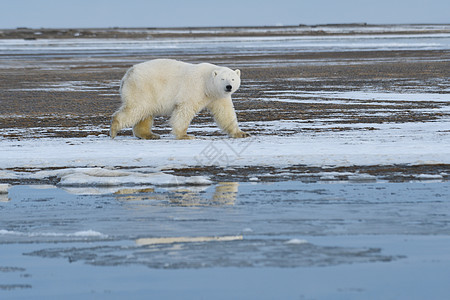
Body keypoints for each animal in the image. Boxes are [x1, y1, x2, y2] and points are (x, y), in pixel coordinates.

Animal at [109, 59, 250, 140]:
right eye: (222, 79)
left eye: (233, 79)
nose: (228, 87)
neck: (207, 84)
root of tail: (127, 75)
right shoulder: (194, 88)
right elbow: (184, 110)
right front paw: (185, 135)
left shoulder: (217, 96)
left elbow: (225, 113)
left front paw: (241, 133)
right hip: (143, 88)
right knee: (137, 108)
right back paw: (114, 129)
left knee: (145, 113)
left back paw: (150, 135)